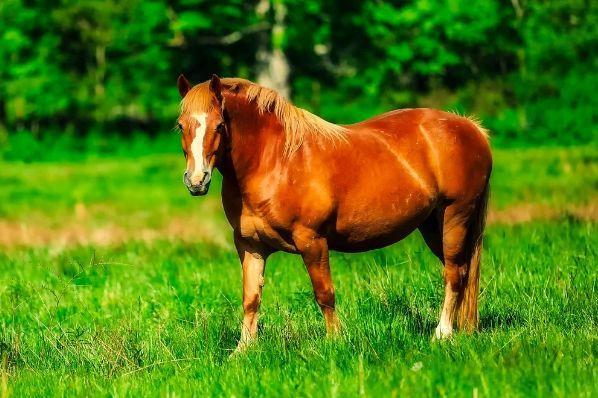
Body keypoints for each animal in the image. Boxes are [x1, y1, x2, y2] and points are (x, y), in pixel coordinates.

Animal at [176, 74, 494, 348]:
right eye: (180, 125)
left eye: (219, 125)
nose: (196, 180)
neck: (276, 161)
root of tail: (471, 128)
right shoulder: (250, 245)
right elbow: (251, 297)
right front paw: (243, 350)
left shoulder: (312, 241)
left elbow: (324, 293)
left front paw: (334, 342)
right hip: (431, 225)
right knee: (463, 271)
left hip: (455, 216)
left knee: (454, 272)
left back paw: (442, 333)